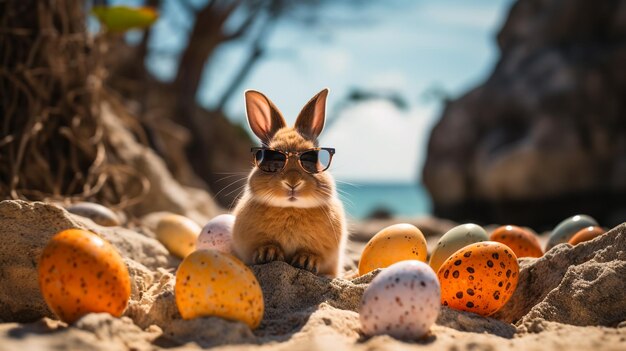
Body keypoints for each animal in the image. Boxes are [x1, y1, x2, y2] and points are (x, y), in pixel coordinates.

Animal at [230, 88, 346, 278]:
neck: (291, 208)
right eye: (273, 159)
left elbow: (313, 255)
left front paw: (306, 261)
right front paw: (268, 254)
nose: (292, 182)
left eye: (311, 159)